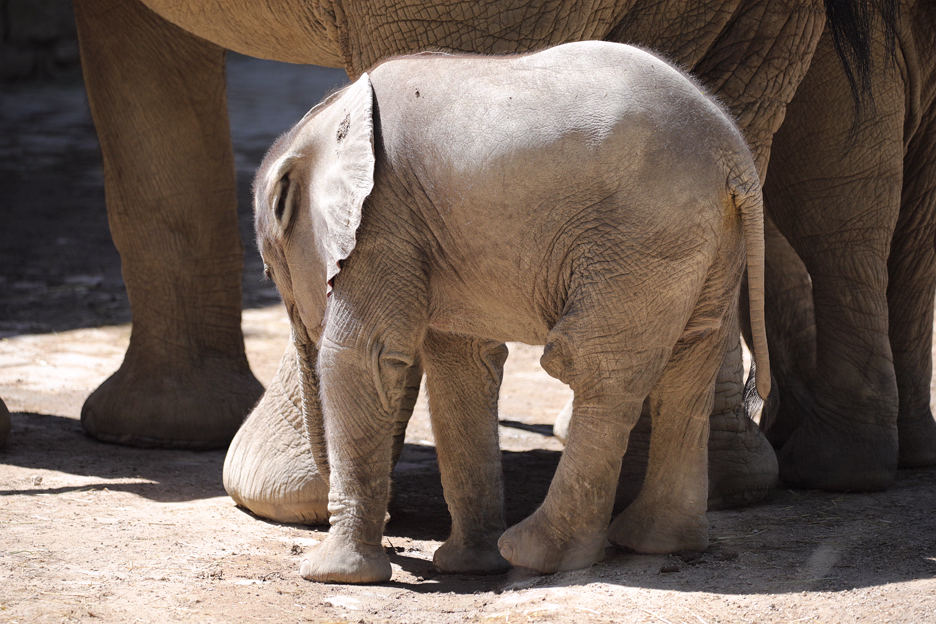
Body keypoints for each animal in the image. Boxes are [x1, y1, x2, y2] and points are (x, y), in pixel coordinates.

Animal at [253, 41, 772, 582]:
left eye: (268, 271)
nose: (398, 526)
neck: (329, 117)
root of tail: (733, 155)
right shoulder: (431, 234)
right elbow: (460, 368)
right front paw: (468, 568)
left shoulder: (382, 217)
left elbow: (363, 357)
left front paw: (331, 574)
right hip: (704, 242)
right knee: (688, 367)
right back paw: (656, 543)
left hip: (642, 236)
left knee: (597, 372)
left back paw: (535, 552)